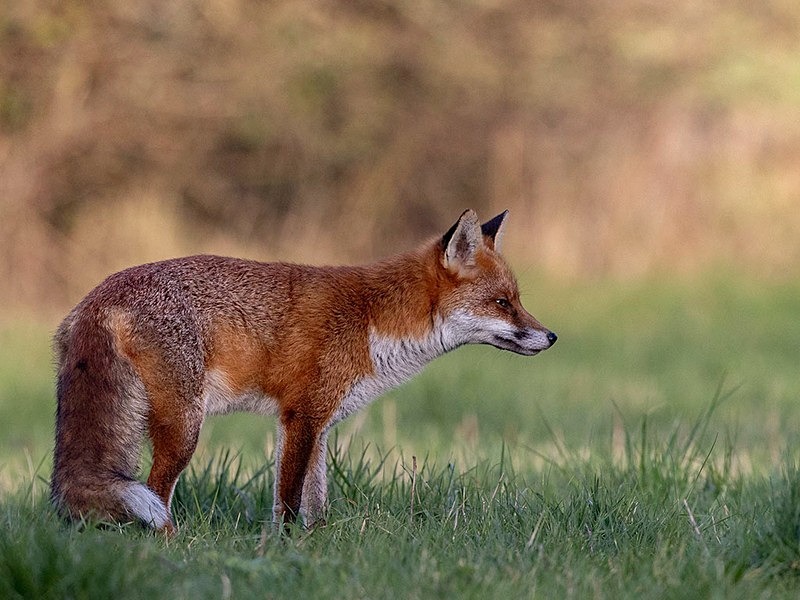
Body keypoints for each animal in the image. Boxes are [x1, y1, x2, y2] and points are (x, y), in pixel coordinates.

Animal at [51, 209, 557, 533]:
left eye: (518, 300)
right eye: (502, 303)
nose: (551, 337)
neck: (373, 321)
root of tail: (99, 293)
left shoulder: (319, 424)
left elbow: (316, 503)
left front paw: (314, 549)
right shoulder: (302, 416)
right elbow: (289, 502)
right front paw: (284, 549)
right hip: (184, 428)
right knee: (157, 495)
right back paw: (173, 546)